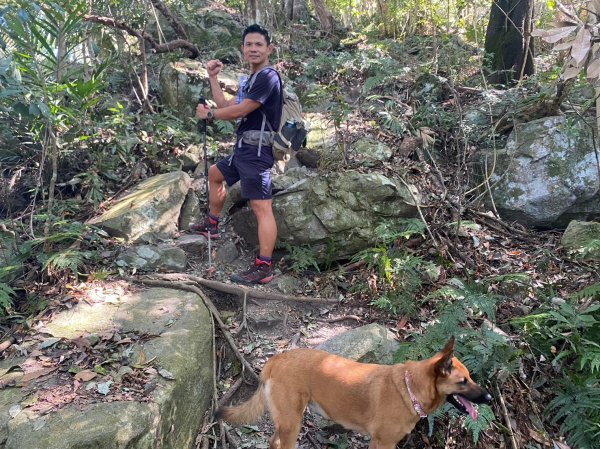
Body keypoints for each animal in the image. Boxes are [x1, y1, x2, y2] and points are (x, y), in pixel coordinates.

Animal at [218, 338, 490, 446]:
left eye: (470, 377)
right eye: (463, 381)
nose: (488, 397)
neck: (410, 388)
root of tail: (277, 359)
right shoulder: (383, 444)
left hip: (287, 422)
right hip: (292, 425)